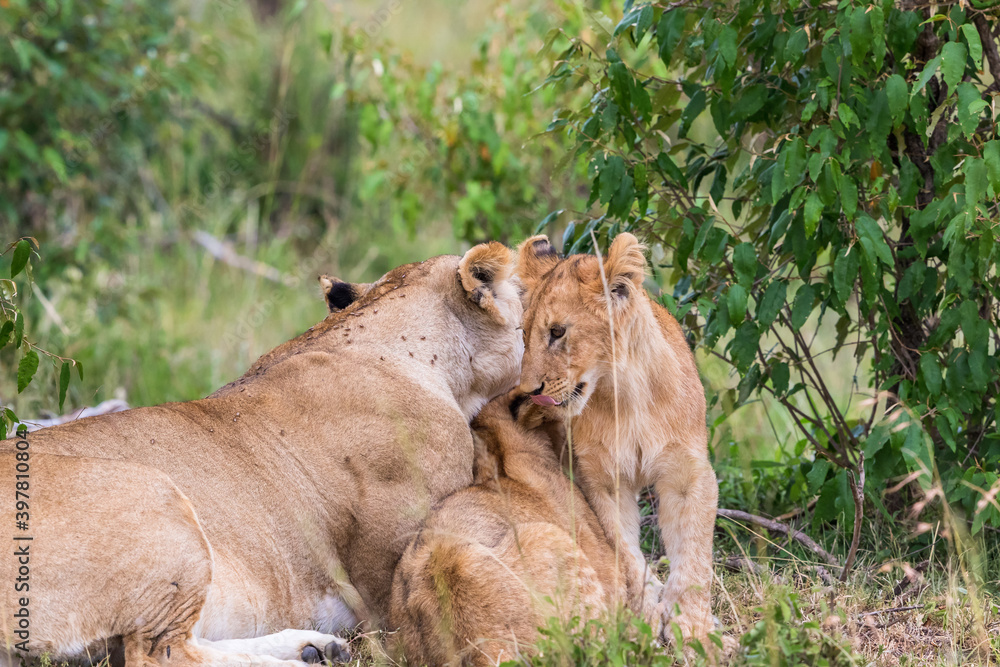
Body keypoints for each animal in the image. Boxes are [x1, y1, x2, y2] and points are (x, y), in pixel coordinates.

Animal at [513, 232, 718, 641]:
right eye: (523, 335)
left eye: (557, 332)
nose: (528, 391)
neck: (625, 393)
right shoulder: (604, 480)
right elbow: (625, 551)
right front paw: (649, 611)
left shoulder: (688, 474)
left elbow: (694, 553)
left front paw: (693, 628)